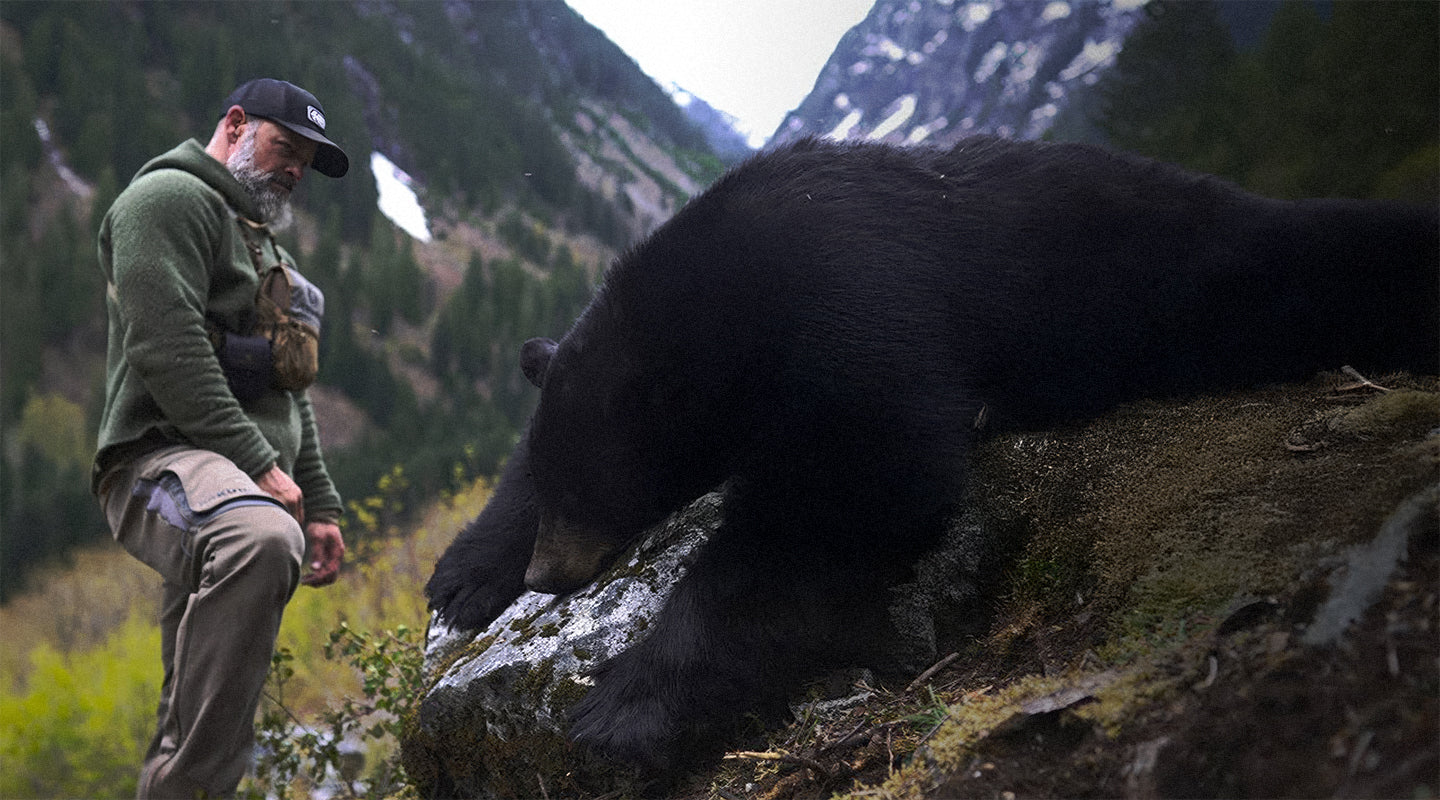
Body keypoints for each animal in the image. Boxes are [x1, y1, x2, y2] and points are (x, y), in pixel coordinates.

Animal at [427, 135, 1439, 772]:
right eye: (558, 483)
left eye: (598, 492)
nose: (549, 575)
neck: (722, 295)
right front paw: (464, 572)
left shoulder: (860, 299)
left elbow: (859, 481)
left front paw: (621, 710)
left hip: (1212, 271)